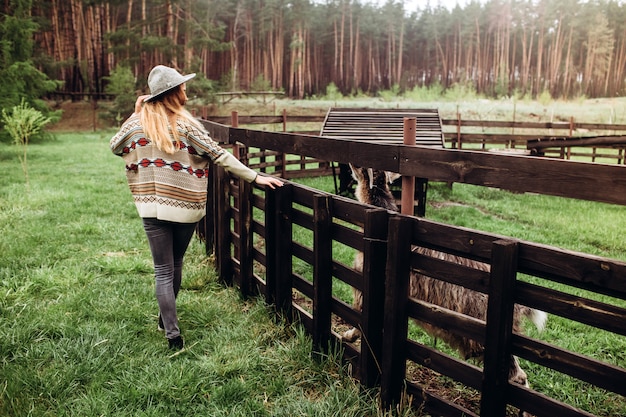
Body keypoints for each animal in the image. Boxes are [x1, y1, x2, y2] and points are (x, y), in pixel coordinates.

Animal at [342, 164, 544, 398]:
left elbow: (360, 321)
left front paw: (347, 336)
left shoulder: (364, 290)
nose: (350, 165)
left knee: (517, 375)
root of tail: (519, 307)